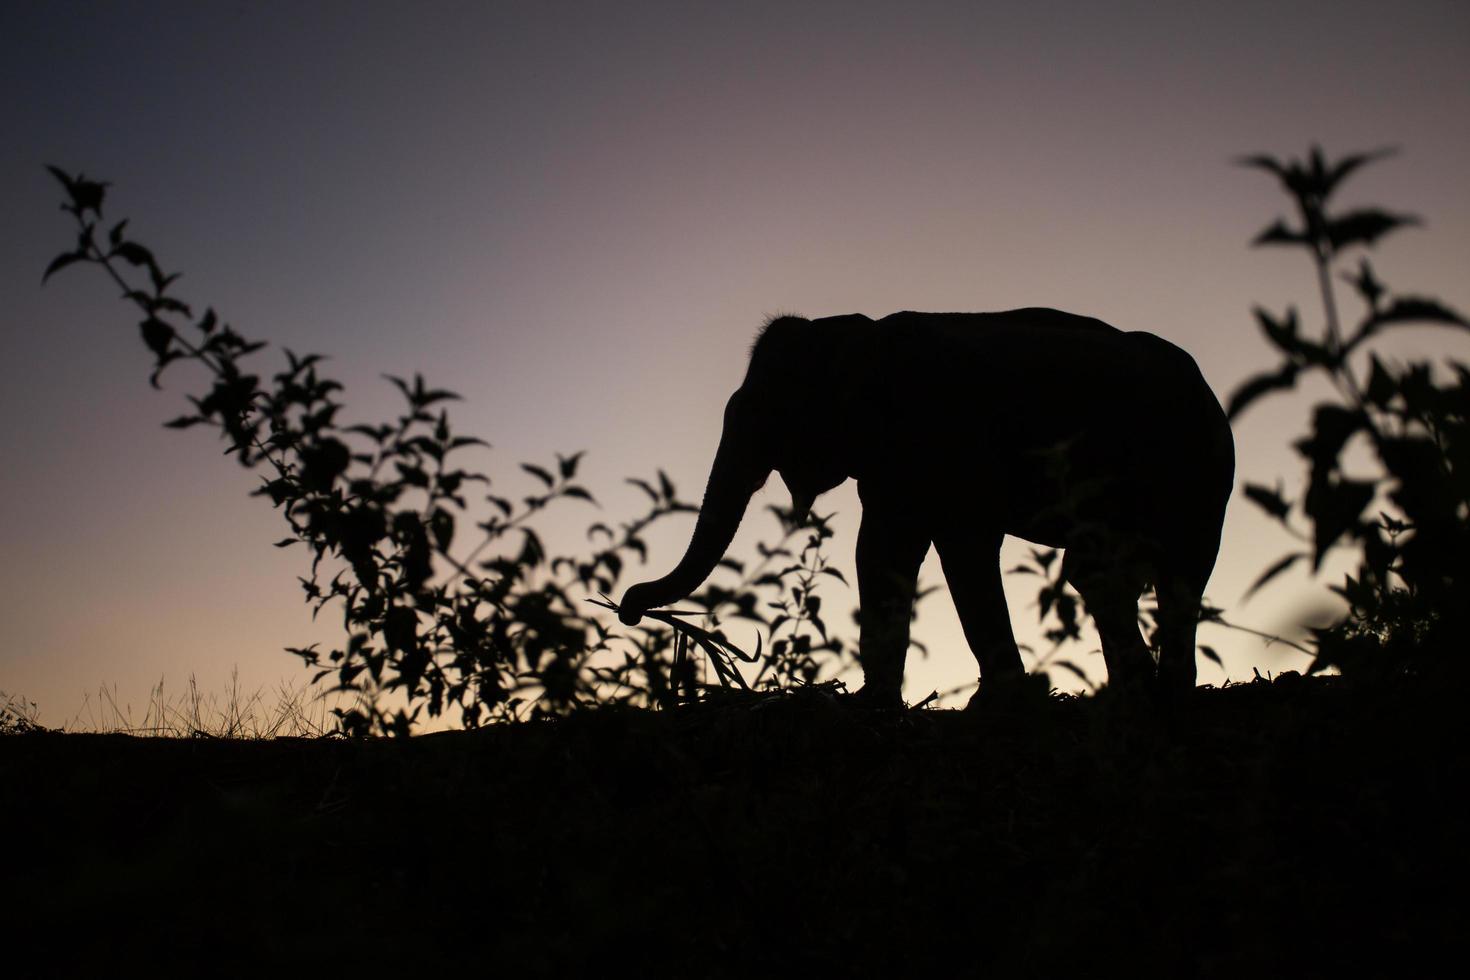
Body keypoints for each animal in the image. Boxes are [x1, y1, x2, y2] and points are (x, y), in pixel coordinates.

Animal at [614, 308, 1234, 705]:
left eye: (763, 414)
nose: (629, 609)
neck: (854, 334)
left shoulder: (930, 442)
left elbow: (921, 549)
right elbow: (919, 553)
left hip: (1200, 477)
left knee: (1167, 571)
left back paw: (1165, 693)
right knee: (1109, 572)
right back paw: (1143, 691)